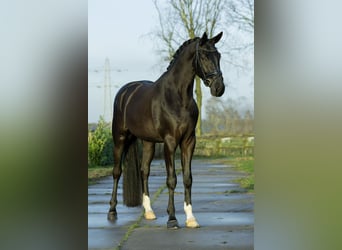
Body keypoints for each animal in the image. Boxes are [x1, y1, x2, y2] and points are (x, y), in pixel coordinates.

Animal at [107, 31, 224, 229]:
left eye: (219, 56)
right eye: (204, 56)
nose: (219, 88)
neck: (177, 97)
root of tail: (125, 92)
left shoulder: (188, 141)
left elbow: (187, 178)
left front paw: (191, 218)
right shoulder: (170, 142)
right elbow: (171, 179)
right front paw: (172, 219)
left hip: (148, 142)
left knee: (144, 171)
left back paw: (149, 212)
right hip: (120, 138)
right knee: (117, 172)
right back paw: (112, 211)